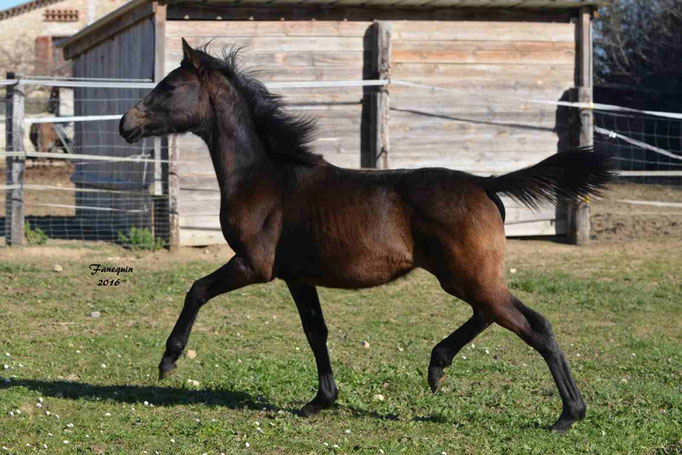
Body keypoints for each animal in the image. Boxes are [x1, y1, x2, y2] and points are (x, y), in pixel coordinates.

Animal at [121, 40, 612, 434]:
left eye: (169, 87)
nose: (126, 124)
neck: (263, 177)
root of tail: (485, 183)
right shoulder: (297, 276)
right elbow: (315, 331)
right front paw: (320, 401)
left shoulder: (252, 265)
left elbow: (197, 290)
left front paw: (168, 360)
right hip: (469, 276)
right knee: (491, 314)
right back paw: (438, 366)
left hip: (466, 276)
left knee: (533, 324)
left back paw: (568, 414)